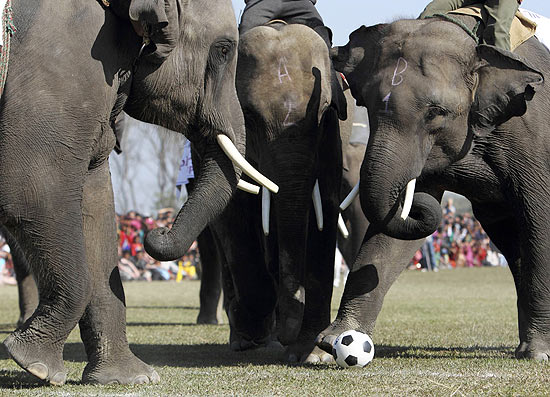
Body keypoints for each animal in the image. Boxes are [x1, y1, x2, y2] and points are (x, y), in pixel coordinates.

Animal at [0, 0, 276, 384]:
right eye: (223, 50)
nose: (154, 231)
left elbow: (95, 206)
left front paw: (129, 379)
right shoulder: (60, 59)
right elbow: (31, 192)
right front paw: (36, 365)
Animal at [207, 22, 344, 362]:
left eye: (325, 113)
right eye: (250, 117)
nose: (287, 336)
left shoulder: (330, 142)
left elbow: (325, 208)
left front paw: (311, 354)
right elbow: (233, 213)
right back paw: (247, 337)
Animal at [316, 12, 548, 360]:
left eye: (436, 112)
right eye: (366, 104)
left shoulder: (534, 136)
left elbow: (540, 219)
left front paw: (539, 354)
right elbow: (392, 234)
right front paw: (335, 340)